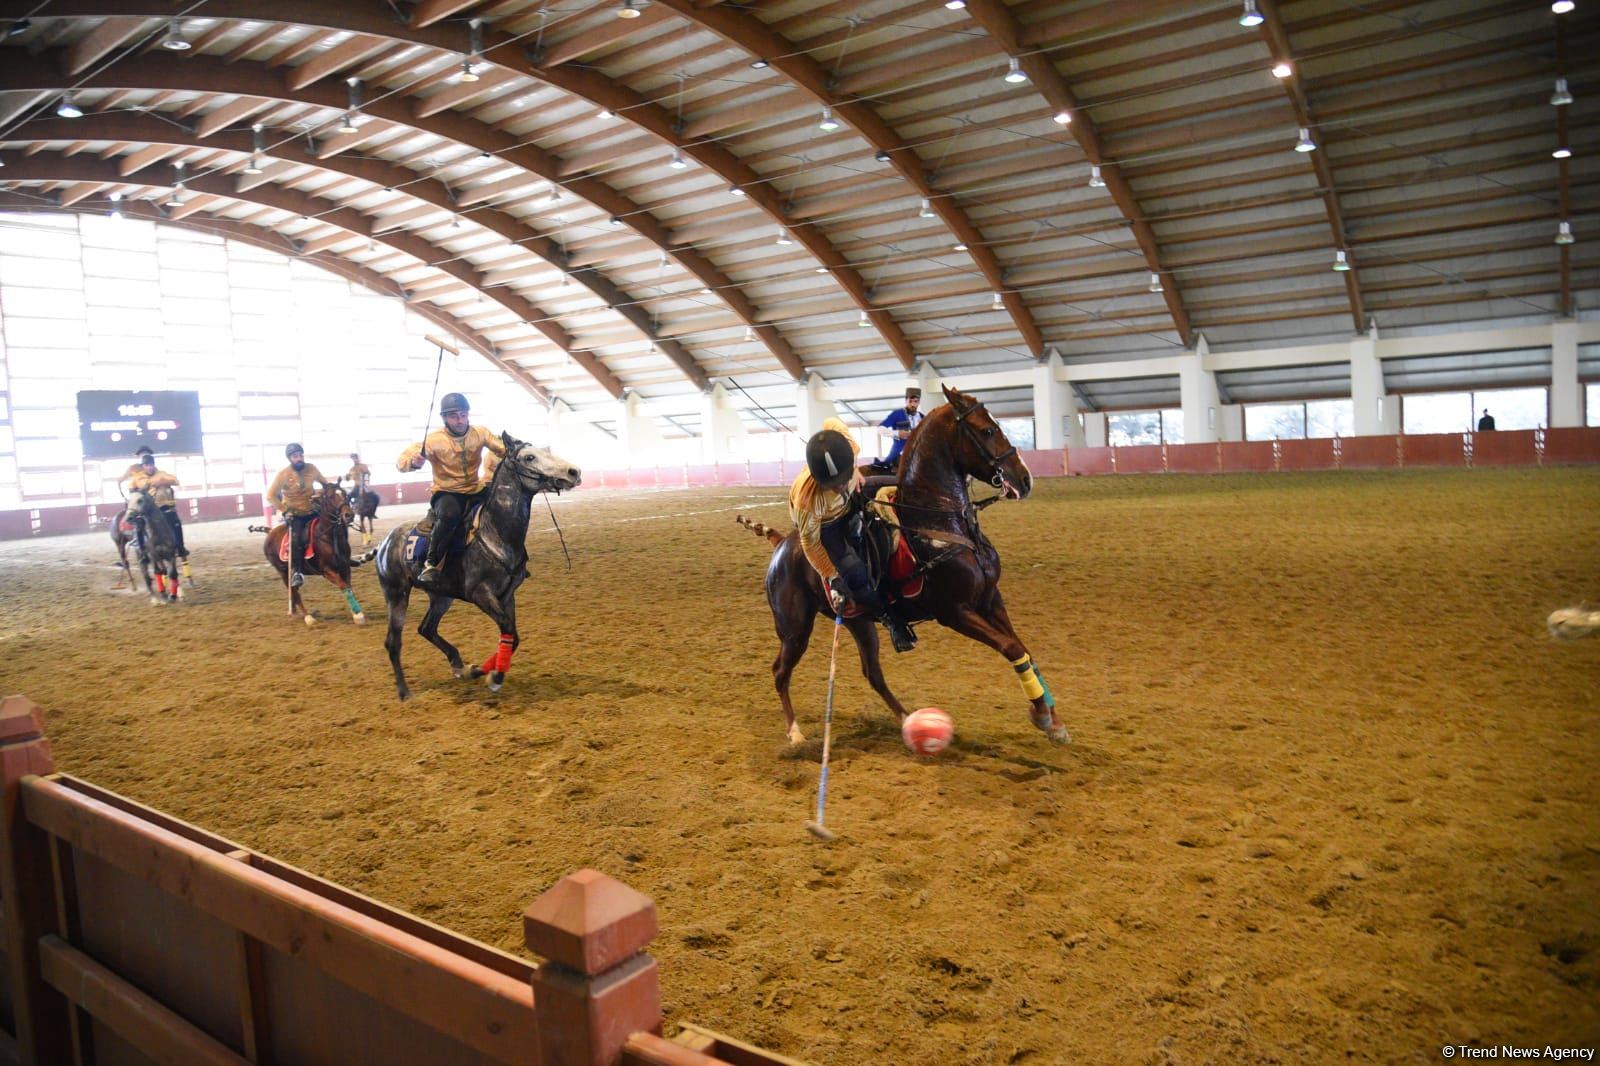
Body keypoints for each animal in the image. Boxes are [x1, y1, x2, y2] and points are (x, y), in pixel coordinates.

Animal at [249, 480, 371, 624]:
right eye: (330, 497)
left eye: (346, 494)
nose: (349, 515)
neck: (328, 537)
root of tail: (270, 531)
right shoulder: (327, 570)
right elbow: (344, 586)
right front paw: (358, 614)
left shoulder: (345, 567)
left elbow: (349, 587)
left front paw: (356, 614)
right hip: (283, 571)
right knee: (294, 592)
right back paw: (307, 617)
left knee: (293, 592)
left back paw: (294, 612)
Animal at [374, 432, 582, 697]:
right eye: (529, 457)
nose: (573, 472)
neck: (494, 530)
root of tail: (385, 542)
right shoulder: (480, 593)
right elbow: (508, 630)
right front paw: (495, 677)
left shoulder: (507, 595)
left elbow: (512, 636)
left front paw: (477, 671)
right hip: (396, 594)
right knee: (393, 642)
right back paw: (404, 692)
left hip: (441, 596)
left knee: (426, 628)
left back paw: (458, 665)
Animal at [739, 385, 1068, 742]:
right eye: (987, 431)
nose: (1024, 479)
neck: (940, 520)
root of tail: (781, 543)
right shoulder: (955, 612)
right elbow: (1011, 648)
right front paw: (1042, 715)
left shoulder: (990, 598)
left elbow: (1024, 649)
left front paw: (1053, 719)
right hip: (795, 628)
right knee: (780, 671)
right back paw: (796, 733)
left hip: (859, 622)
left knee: (872, 673)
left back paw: (907, 718)